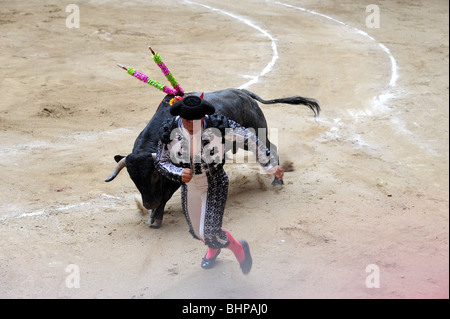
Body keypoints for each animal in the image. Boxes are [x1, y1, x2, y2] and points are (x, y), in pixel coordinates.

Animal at [104, 89, 320, 229]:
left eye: (154, 176)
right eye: (133, 178)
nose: (148, 204)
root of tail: (244, 93)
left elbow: (165, 194)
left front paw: (156, 218)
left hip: (257, 129)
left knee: (269, 149)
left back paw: (277, 182)